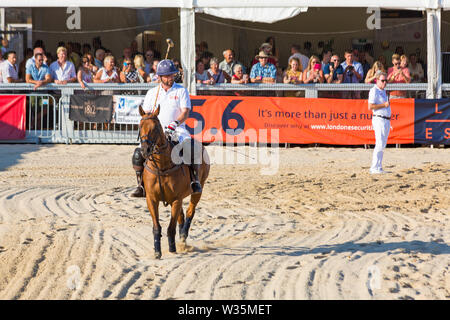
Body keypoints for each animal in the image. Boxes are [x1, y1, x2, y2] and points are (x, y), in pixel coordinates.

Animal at [138, 104, 210, 258]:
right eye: (140, 126)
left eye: (156, 127)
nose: (145, 150)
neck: (162, 166)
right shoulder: (151, 199)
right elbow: (157, 226)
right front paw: (157, 251)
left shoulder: (176, 199)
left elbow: (171, 228)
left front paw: (172, 248)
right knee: (181, 216)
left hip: (197, 190)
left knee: (190, 212)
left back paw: (182, 239)